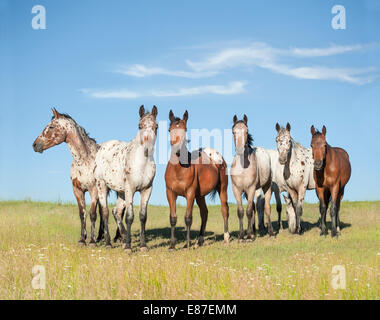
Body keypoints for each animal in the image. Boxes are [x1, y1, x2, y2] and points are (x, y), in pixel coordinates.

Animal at [31, 107, 104, 245]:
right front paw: (82, 239)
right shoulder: (77, 190)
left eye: (51, 127)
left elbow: (92, 214)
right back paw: (101, 236)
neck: (84, 160)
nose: (35, 145)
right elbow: (82, 214)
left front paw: (91, 241)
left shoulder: (93, 189)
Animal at [94, 105, 158, 250]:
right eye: (139, 126)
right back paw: (109, 243)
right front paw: (129, 247)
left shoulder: (147, 189)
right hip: (102, 185)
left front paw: (143, 246)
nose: (147, 149)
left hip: (121, 192)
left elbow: (142, 216)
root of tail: (102, 148)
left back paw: (122, 239)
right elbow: (129, 217)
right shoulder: (130, 189)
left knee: (116, 211)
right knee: (105, 212)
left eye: (156, 126)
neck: (142, 164)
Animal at [164, 110, 229, 250]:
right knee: (204, 213)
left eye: (185, 129)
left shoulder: (190, 194)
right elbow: (173, 218)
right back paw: (199, 240)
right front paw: (172, 245)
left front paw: (187, 244)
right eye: (170, 130)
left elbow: (188, 217)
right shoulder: (170, 193)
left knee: (224, 210)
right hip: (200, 196)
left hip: (222, 189)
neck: (179, 169)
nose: (177, 151)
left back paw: (226, 238)